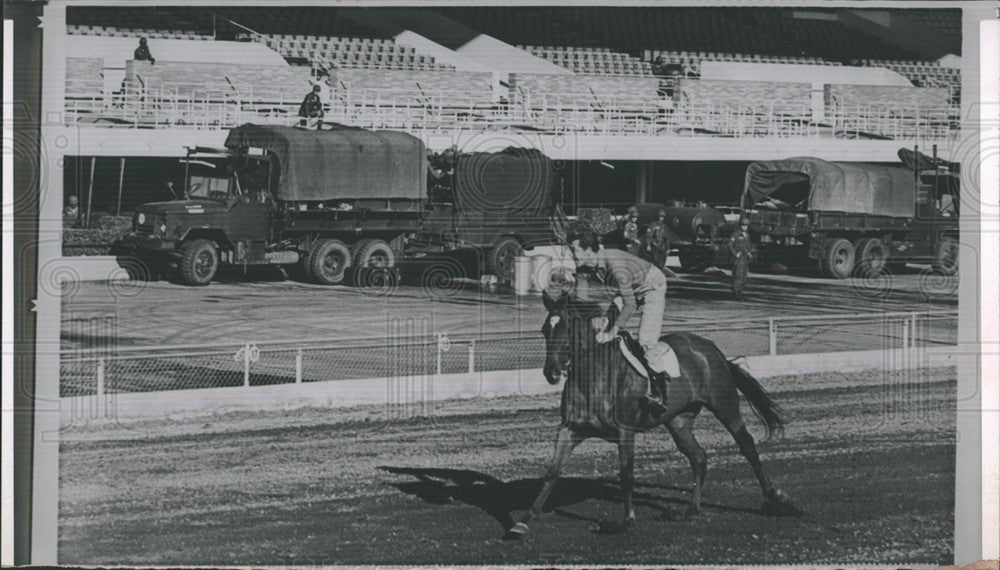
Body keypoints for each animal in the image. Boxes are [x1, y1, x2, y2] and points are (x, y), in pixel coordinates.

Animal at [508, 288, 796, 536]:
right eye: (545, 329)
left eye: (568, 328)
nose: (552, 372)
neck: (593, 378)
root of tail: (710, 347)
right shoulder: (570, 428)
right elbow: (552, 473)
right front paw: (524, 521)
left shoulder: (625, 431)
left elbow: (626, 474)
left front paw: (626, 520)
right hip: (678, 422)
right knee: (699, 457)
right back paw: (690, 509)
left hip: (724, 406)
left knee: (746, 444)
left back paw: (776, 498)